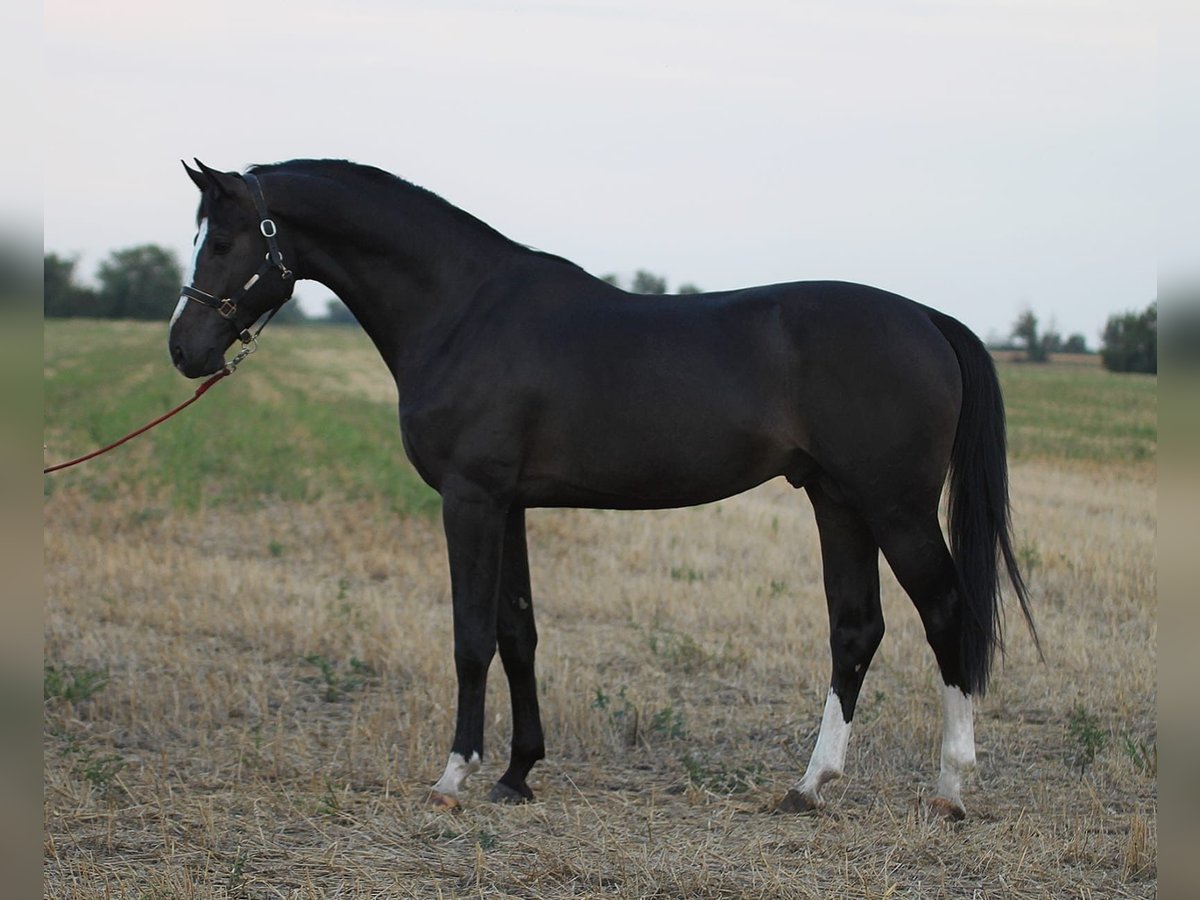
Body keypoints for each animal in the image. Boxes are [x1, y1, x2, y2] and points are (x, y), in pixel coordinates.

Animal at [164, 158, 1036, 820]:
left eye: (228, 238)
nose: (184, 349)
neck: (463, 310)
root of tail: (926, 317)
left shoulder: (470, 499)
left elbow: (470, 636)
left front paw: (453, 775)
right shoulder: (509, 504)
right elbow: (518, 632)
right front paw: (518, 774)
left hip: (894, 506)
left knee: (945, 612)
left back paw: (951, 787)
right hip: (837, 500)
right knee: (856, 628)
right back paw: (808, 785)